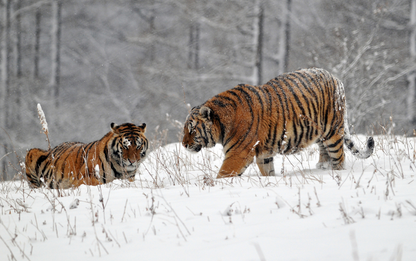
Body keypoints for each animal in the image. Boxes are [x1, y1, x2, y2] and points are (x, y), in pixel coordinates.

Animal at [182, 67, 374, 178]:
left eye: (192, 130)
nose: (183, 144)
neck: (223, 124)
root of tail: (335, 78)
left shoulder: (237, 154)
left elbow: (223, 175)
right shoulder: (264, 155)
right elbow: (268, 172)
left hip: (332, 131)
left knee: (339, 157)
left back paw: (334, 173)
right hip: (319, 133)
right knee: (324, 150)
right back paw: (322, 166)